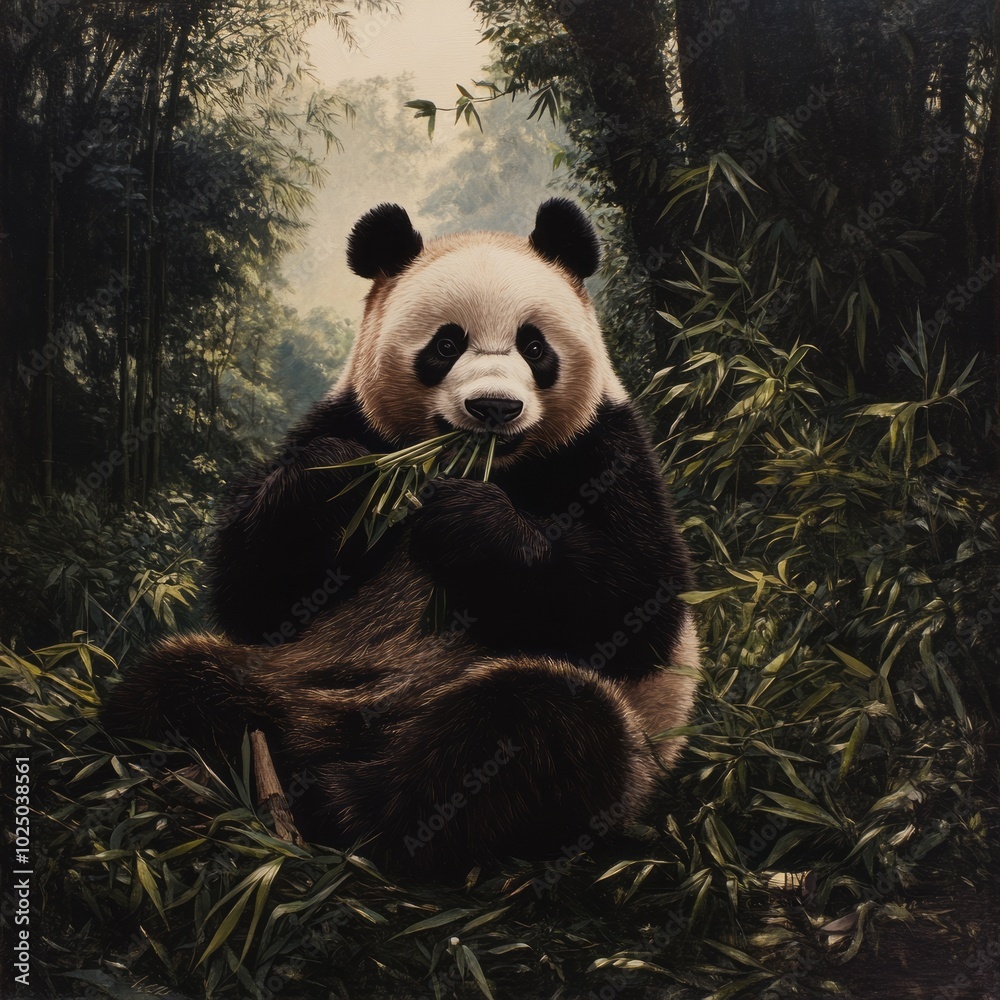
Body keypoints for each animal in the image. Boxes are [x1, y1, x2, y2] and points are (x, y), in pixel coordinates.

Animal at [103, 199, 700, 878]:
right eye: (446, 343)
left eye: (534, 345)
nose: (494, 408)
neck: (485, 464)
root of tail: (319, 729)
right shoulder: (347, 418)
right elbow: (257, 593)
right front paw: (341, 479)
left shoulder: (607, 447)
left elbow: (636, 596)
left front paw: (468, 519)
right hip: (280, 675)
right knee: (172, 683)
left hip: (614, 745)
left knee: (527, 729)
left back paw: (350, 807)